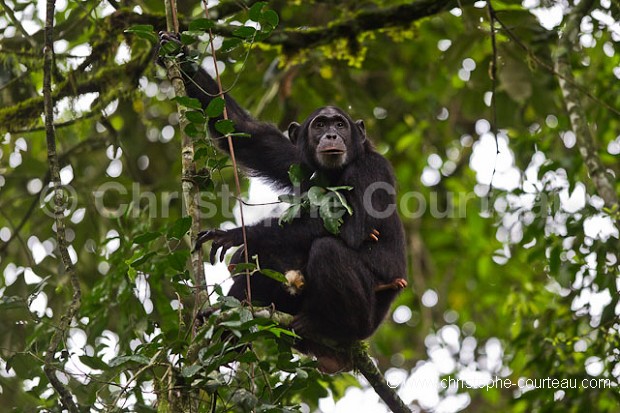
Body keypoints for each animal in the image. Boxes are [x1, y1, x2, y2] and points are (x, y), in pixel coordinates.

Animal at [159, 33, 406, 374]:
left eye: (340, 125)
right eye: (319, 125)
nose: (331, 134)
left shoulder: (372, 169)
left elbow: (352, 227)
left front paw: (236, 236)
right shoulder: (295, 160)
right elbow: (245, 133)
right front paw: (178, 53)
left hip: (366, 323)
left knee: (326, 250)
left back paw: (328, 327)